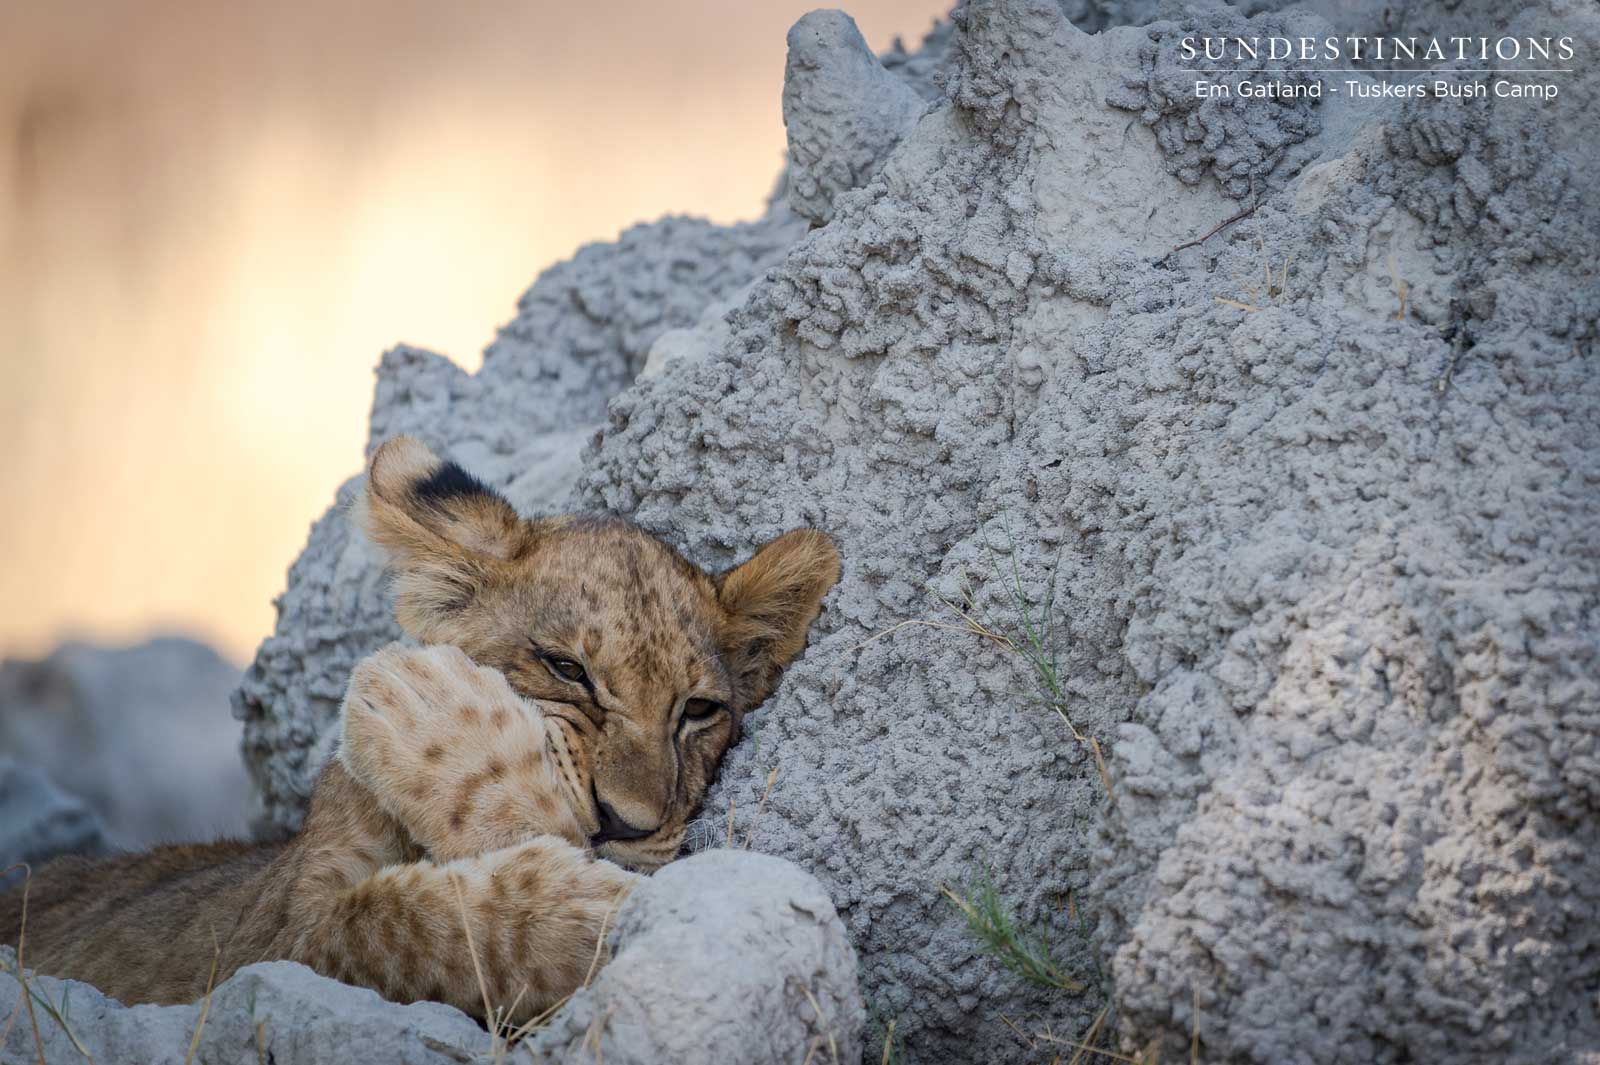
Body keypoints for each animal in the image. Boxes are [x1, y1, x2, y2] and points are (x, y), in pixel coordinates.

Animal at [1, 435, 840, 1023]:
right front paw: (599, 911)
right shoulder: (264, 950)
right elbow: (394, 921)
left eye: (699, 711)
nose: (627, 824)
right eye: (566, 668)